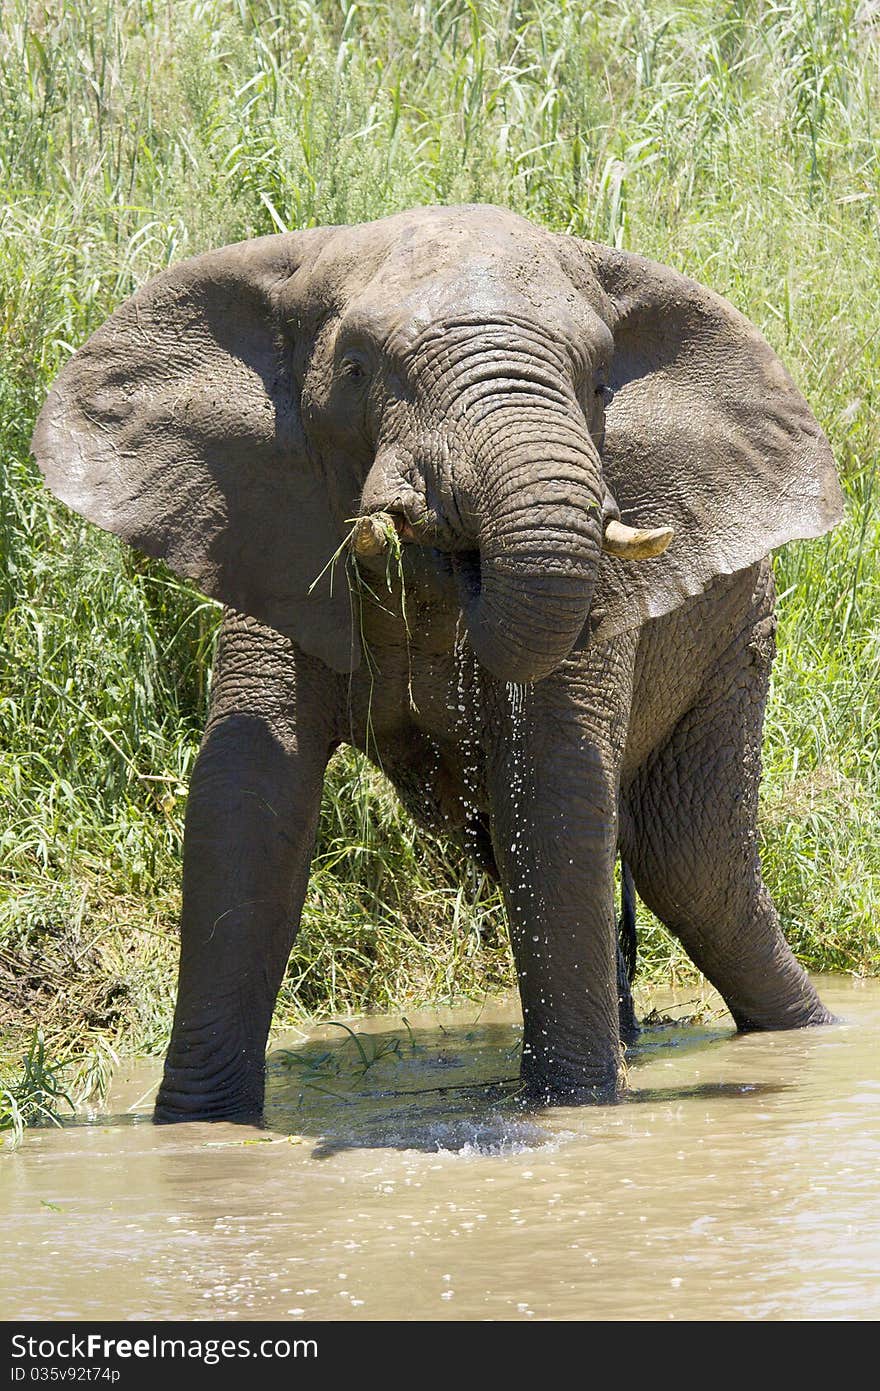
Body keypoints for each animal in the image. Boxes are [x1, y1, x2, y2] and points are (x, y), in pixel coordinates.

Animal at [32, 203, 845, 1118]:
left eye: (601, 383)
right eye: (357, 370)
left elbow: (555, 791)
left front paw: (572, 1111)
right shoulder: (264, 524)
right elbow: (247, 794)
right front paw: (197, 1127)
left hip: (736, 634)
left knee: (692, 863)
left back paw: (804, 1036)